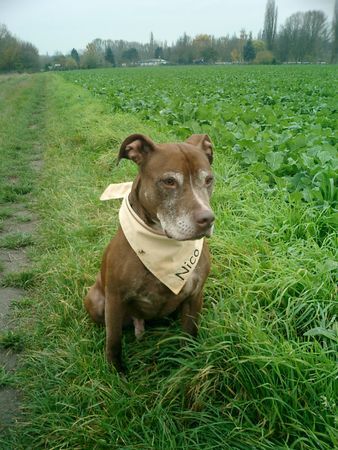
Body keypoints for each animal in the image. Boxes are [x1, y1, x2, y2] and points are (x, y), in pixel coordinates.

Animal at [86, 134, 215, 372]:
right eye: (169, 181)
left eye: (208, 180)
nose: (208, 219)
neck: (165, 246)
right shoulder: (115, 299)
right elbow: (113, 339)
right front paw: (116, 371)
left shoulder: (195, 295)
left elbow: (190, 334)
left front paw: (188, 364)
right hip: (97, 302)